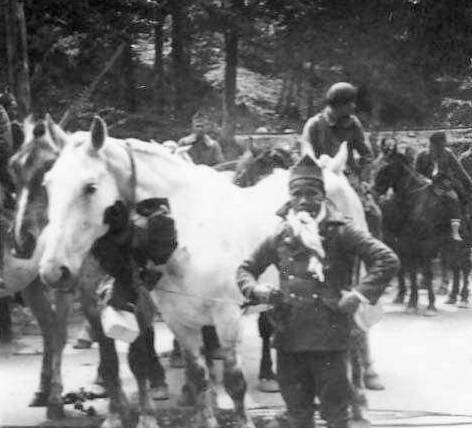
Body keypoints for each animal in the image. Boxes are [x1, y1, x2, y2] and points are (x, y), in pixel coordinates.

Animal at [39, 117, 366, 428]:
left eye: (90, 187)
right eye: (48, 184)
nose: (53, 270)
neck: (191, 231)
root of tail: (332, 170)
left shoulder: (227, 317)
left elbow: (234, 383)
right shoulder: (181, 322)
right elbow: (198, 378)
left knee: (355, 339)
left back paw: (359, 404)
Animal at [374, 145, 470, 312]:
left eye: (386, 167)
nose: (373, 191)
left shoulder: (425, 245)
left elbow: (427, 272)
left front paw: (430, 305)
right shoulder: (406, 243)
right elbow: (411, 271)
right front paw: (412, 302)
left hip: (462, 242)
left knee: (464, 266)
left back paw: (463, 298)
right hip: (450, 244)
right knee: (457, 267)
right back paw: (452, 296)